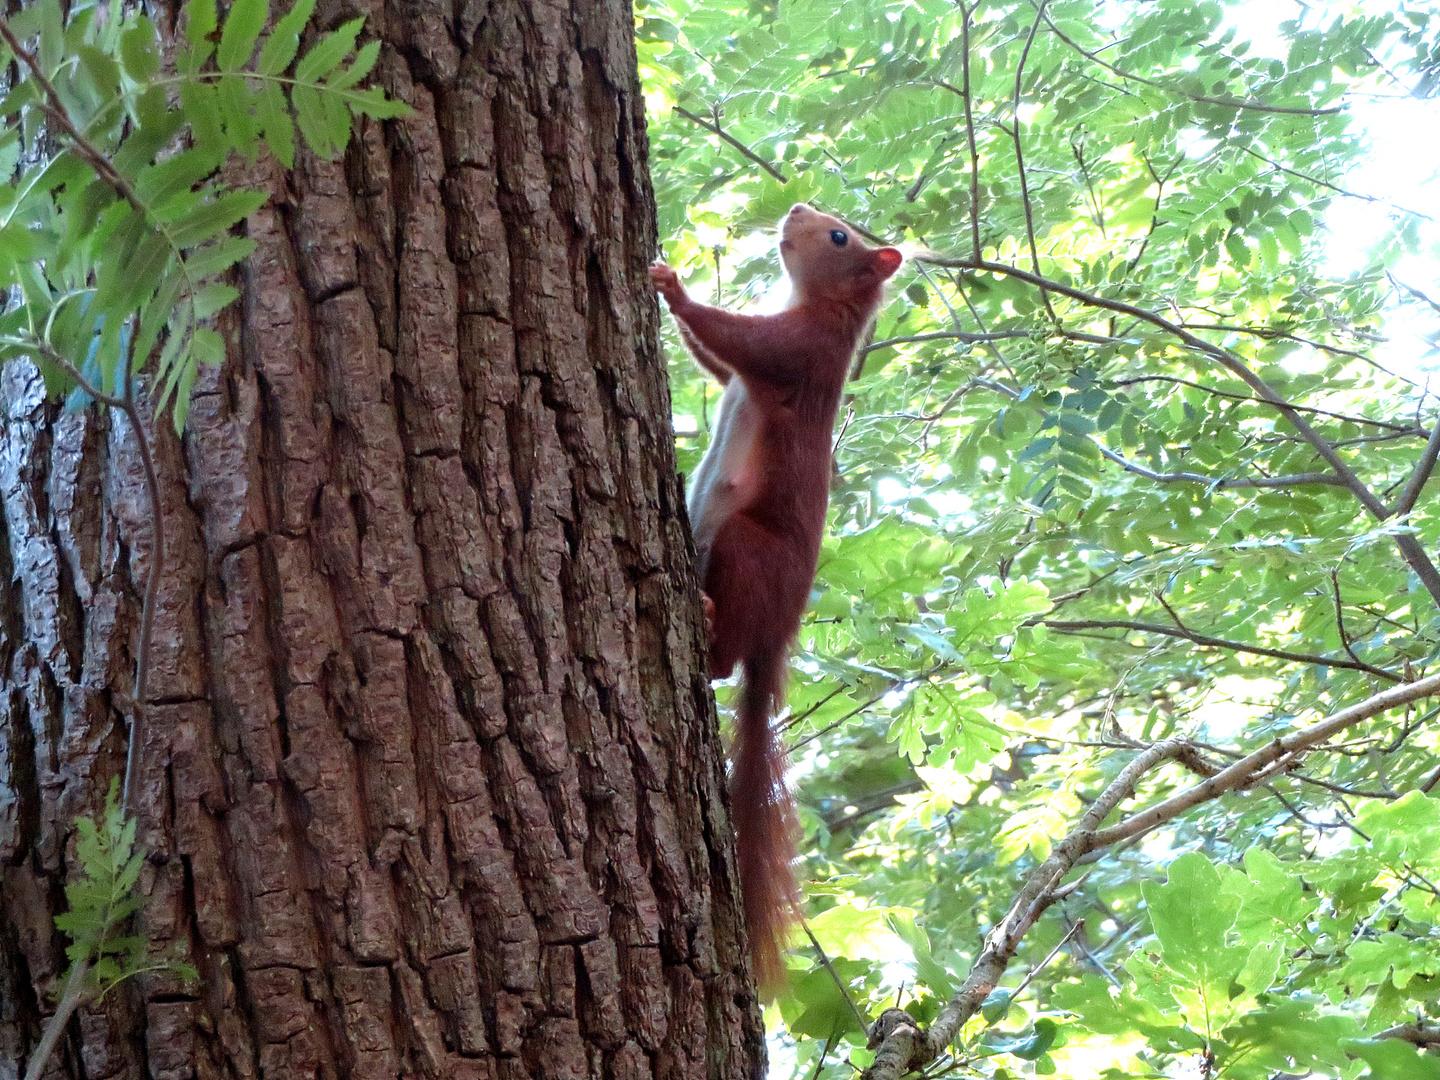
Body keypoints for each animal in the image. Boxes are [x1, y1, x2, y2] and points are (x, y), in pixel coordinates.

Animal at [653, 204, 898, 990]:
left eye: (840, 236)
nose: (795, 210)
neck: (822, 306)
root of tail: (777, 636)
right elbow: (719, 365)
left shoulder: (802, 353)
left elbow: (742, 343)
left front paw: (672, 286)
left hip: (743, 549)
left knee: (726, 663)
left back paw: (706, 625)